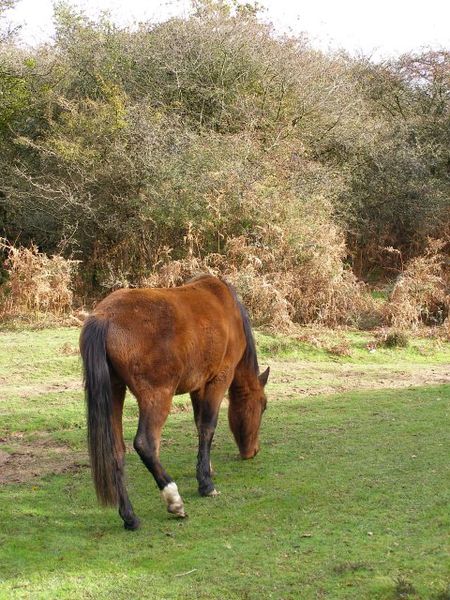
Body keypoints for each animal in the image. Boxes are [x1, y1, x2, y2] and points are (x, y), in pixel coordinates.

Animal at [79, 274, 268, 528]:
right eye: (263, 406)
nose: (253, 451)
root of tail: (105, 317)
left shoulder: (198, 386)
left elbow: (199, 425)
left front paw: (206, 468)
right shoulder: (219, 378)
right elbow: (207, 427)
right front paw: (205, 484)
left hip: (115, 390)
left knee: (116, 451)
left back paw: (130, 517)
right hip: (158, 397)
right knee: (145, 444)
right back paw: (173, 499)